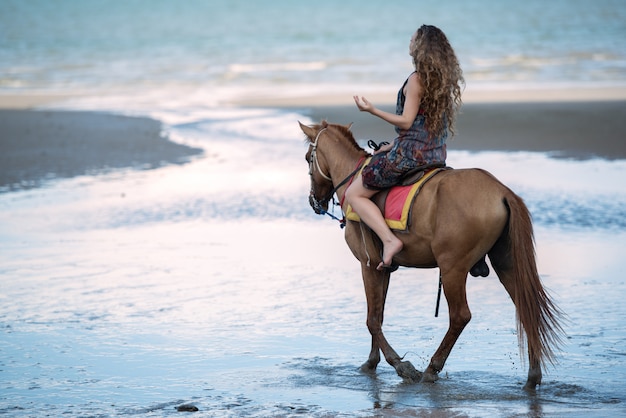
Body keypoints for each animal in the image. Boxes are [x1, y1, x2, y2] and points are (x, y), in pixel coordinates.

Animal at [298, 119, 560, 390]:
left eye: (308, 158)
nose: (314, 201)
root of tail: (501, 191)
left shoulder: (368, 264)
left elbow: (372, 319)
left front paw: (400, 365)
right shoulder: (383, 268)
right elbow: (379, 315)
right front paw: (371, 362)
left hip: (452, 267)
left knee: (460, 316)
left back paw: (432, 368)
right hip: (506, 263)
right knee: (526, 308)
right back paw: (533, 375)